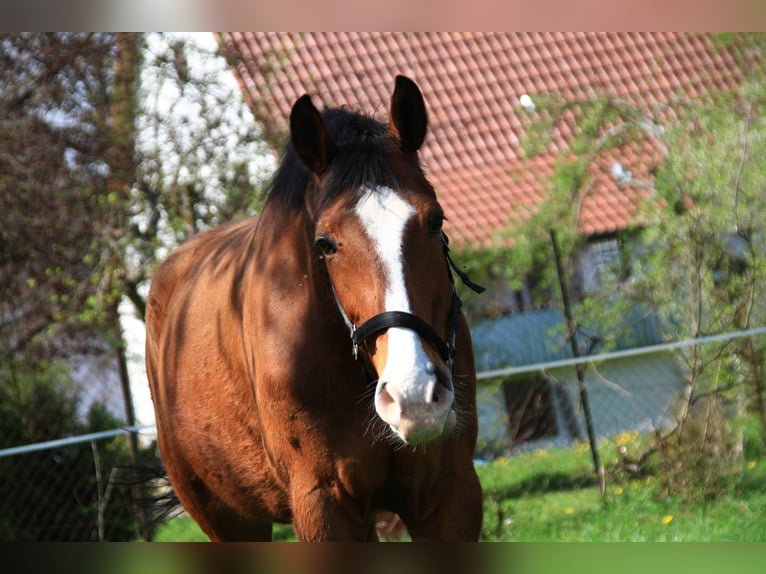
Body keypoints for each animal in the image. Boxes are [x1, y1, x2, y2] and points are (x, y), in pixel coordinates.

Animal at [145, 75, 484, 541]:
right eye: (325, 243)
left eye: (436, 221)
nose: (414, 395)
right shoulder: (325, 506)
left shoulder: (450, 496)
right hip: (226, 518)